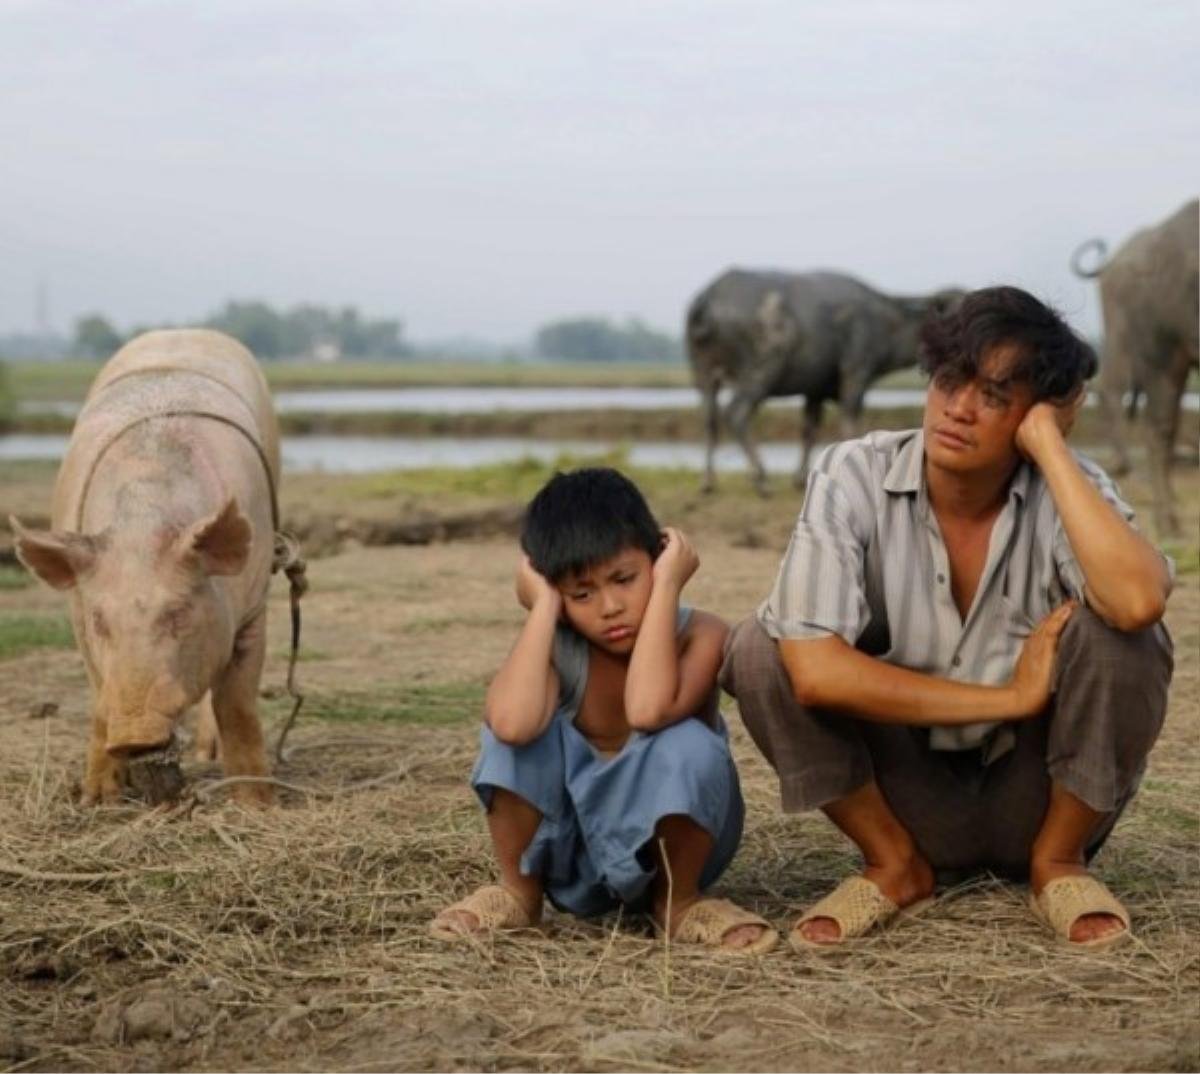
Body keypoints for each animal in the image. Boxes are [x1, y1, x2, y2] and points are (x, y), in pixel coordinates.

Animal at [12, 331, 284, 801]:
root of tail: (183, 330)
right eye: (101, 620)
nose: (133, 733)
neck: (141, 522)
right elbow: (99, 696)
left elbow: (236, 704)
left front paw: (258, 804)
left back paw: (206, 755)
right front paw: (98, 799)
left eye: (179, 612)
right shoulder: (79, 619)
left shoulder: (254, 605)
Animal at [686, 268, 955, 492]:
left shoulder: (814, 391)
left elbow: (809, 430)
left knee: (709, 421)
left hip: (704, 377)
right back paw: (761, 478)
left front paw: (799, 478)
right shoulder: (856, 376)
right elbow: (850, 422)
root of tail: (710, 297)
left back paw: (707, 481)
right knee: (736, 414)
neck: (886, 324)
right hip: (759, 374)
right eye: (954, 309)